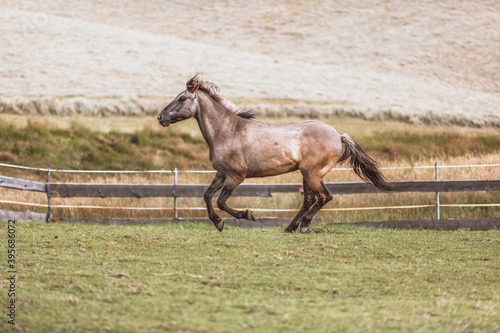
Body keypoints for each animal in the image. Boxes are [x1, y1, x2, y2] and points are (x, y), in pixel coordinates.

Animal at [156, 74, 390, 232]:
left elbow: (222, 201)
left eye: (182, 98)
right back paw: (290, 228)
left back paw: (303, 226)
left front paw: (247, 215)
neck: (227, 131)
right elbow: (206, 196)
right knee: (309, 200)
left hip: (312, 173)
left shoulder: (235, 176)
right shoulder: (221, 173)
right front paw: (219, 223)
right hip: (307, 174)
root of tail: (339, 136)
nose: (160, 117)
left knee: (324, 197)